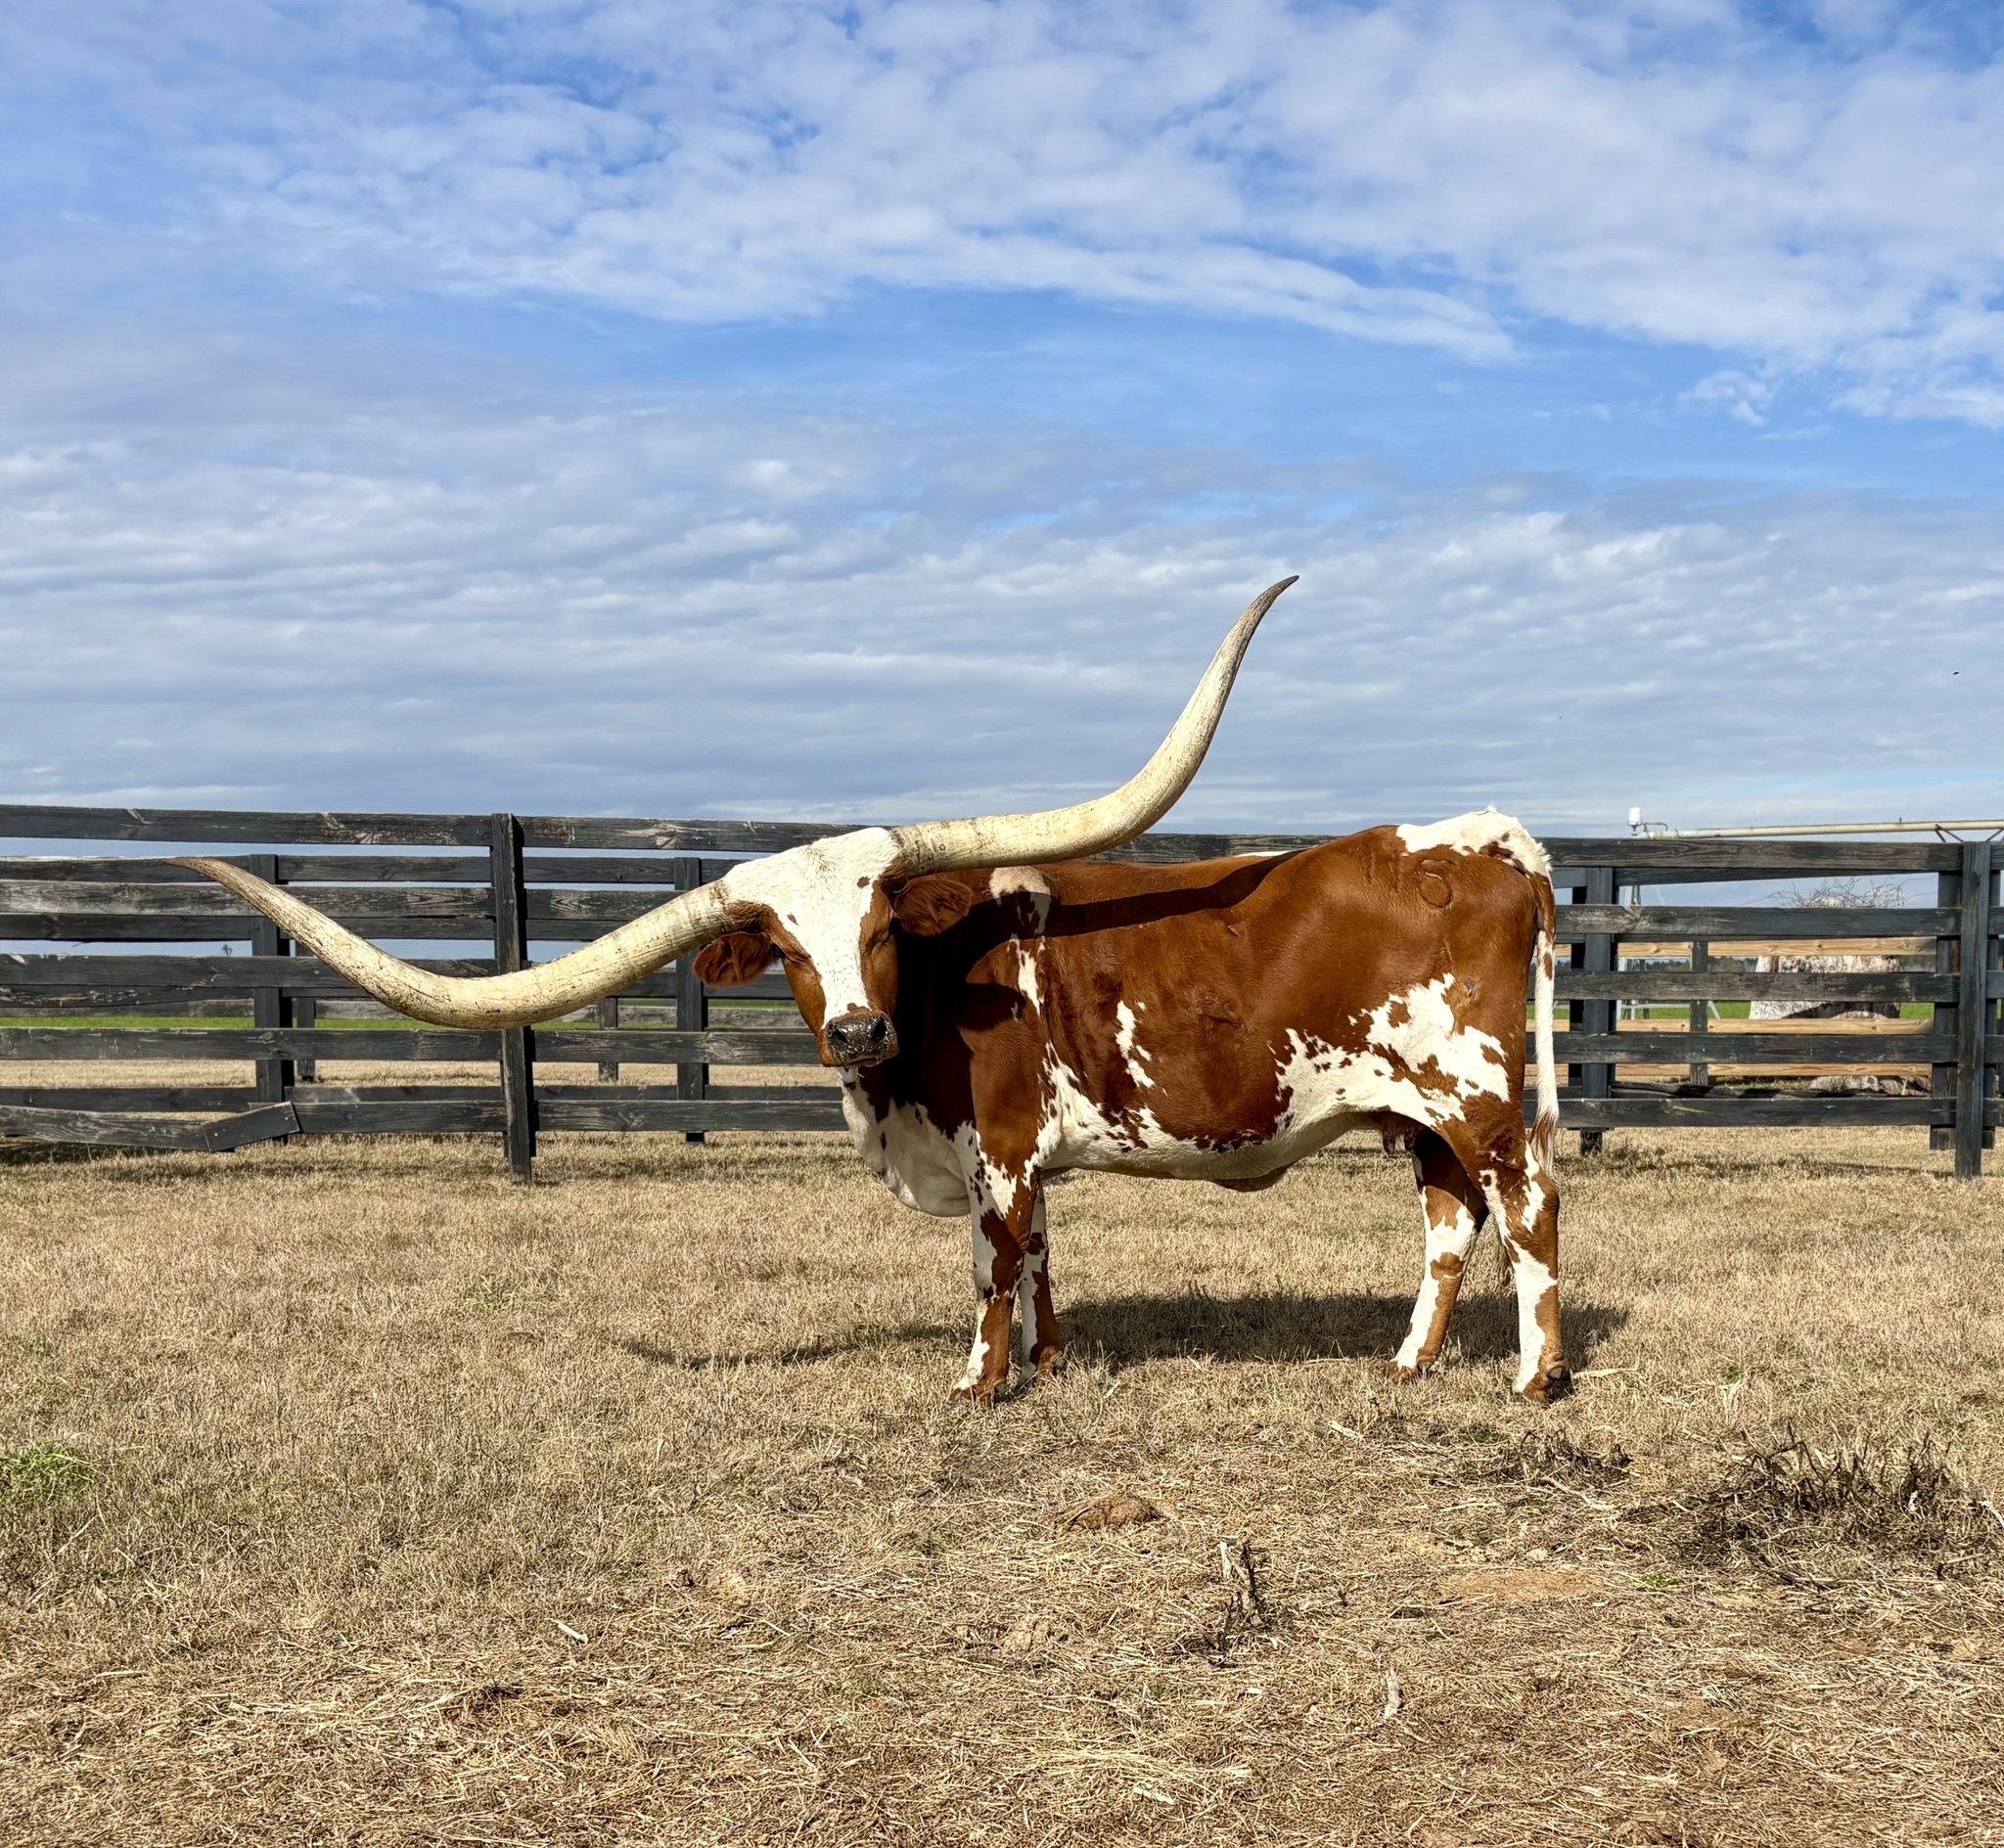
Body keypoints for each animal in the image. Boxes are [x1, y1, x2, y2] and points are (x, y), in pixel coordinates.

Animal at [177, 579, 1568, 1403]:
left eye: (877, 921)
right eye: (784, 947)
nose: (853, 1025)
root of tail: (1495, 838)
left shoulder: (998, 1145)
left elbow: (994, 1260)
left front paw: (977, 1383)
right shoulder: (1006, 1157)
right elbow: (1038, 1259)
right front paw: (1047, 1366)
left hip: (1481, 1097)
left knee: (1531, 1212)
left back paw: (1533, 1380)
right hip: (1414, 1114)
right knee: (1448, 1227)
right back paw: (1405, 1364)